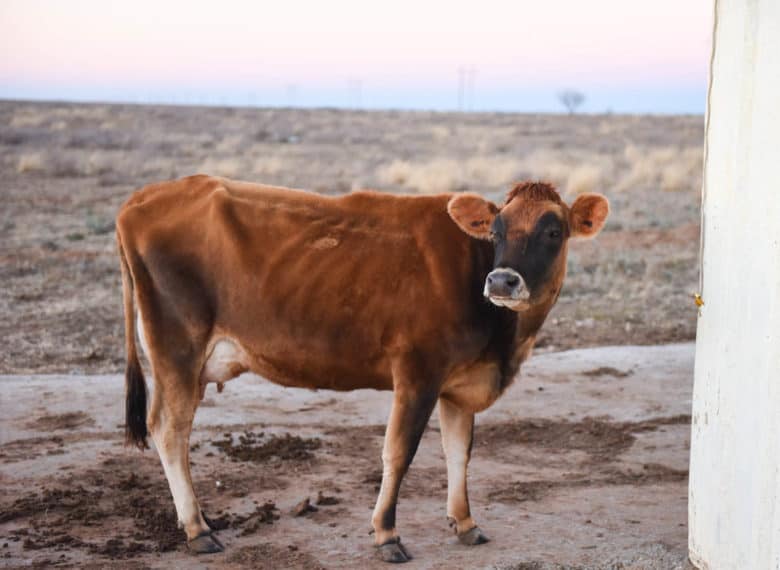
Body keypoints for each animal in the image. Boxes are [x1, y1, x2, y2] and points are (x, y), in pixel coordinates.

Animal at [116, 175, 608, 560]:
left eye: (553, 231)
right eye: (497, 231)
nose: (502, 281)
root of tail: (143, 197)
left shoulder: (460, 383)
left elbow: (458, 452)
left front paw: (465, 523)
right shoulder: (417, 371)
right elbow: (399, 451)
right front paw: (386, 533)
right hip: (177, 348)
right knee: (169, 430)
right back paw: (198, 529)